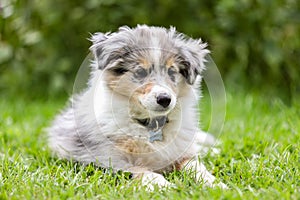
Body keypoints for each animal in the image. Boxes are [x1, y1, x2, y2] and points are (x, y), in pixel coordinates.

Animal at [49, 24, 226, 189]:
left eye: (171, 72)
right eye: (140, 72)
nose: (165, 99)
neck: (150, 126)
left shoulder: (181, 153)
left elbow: (196, 166)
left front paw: (216, 184)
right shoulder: (106, 159)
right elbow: (140, 170)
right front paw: (164, 186)